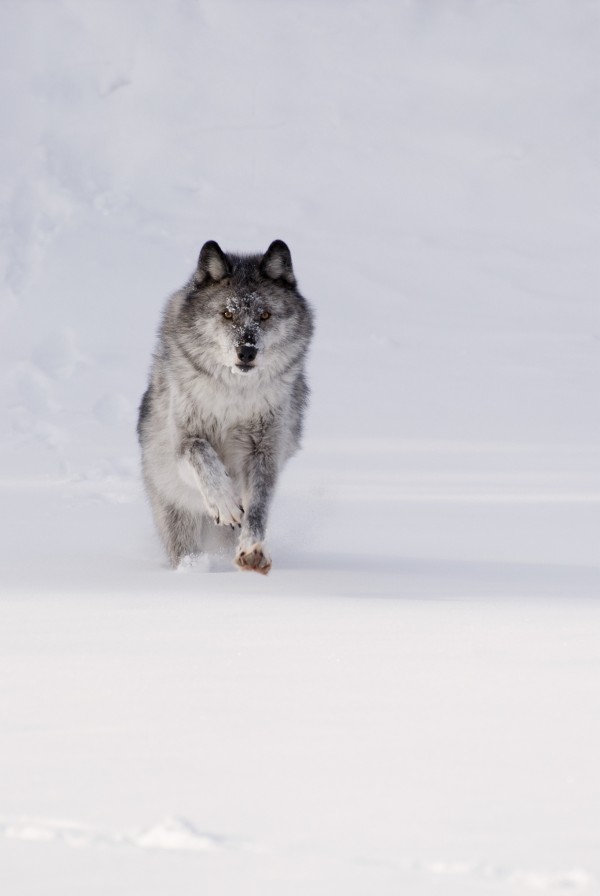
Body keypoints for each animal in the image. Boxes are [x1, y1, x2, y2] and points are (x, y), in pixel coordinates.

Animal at [137, 239, 314, 574]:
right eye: (227, 314)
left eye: (265, 315)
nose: (247, 351)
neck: (234, 395)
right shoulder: (183, 443)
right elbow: (201, 452)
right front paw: (226, 503)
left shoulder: (266, 452)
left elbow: (257, 508)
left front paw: (253, 549)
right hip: (177, 512)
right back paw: (191, 568)